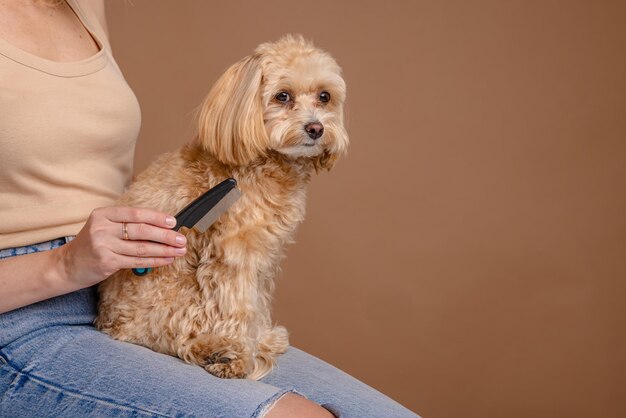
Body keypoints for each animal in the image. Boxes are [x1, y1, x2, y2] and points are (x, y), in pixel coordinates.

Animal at [94, 35, 346, 382]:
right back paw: (221, 351)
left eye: (324, 97)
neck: (264, 162)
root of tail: (109, 323)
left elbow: (257, 303)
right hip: (176, 300)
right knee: (178, 336)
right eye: (283, 96)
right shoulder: (235, 254)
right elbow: (239, 306)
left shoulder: (264, 257)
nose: (316, 128)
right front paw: (241, 353)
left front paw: (261, 338)